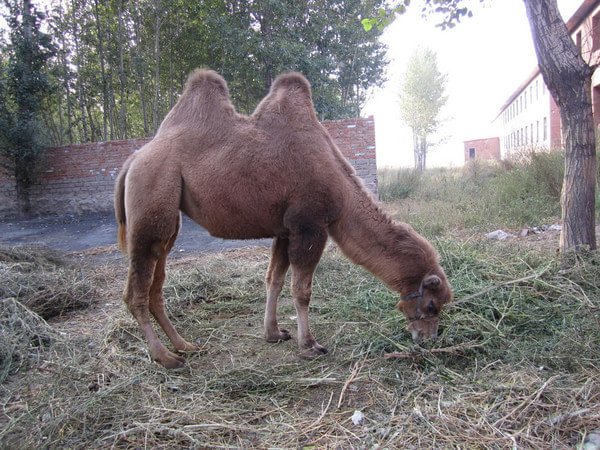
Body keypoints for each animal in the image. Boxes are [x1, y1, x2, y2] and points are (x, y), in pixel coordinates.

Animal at [115, 67, 452, 370]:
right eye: (431, 304)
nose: (428, 339)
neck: (341, 194)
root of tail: (131, 161)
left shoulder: (284, 230)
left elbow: (273, 280)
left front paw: (274, 333)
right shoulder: (310, 226)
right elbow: (301, 291)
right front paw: (310, 344)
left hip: (167, 225)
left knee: (155, 286)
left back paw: (184, 345)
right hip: (152, 200)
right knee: (135, 292)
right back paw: (165, 357)